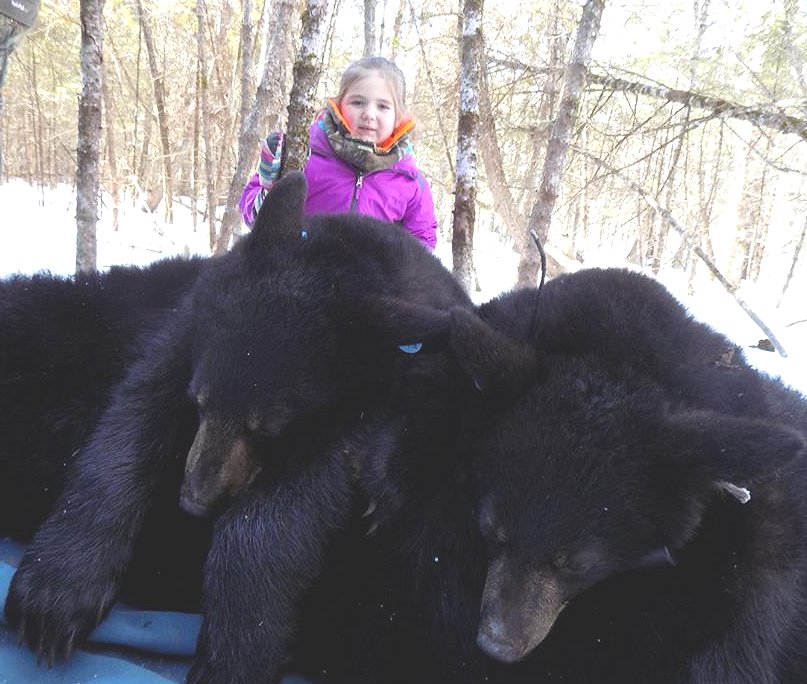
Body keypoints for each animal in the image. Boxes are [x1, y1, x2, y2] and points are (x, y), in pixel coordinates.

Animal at [4, 171, 474, 684]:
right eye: (198, 402)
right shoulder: (191, 320)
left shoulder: (377, 400)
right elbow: (137, 411)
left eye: (267, 428)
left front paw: (233, 655)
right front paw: (54, 596)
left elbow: (295, 497)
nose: (193, 500)